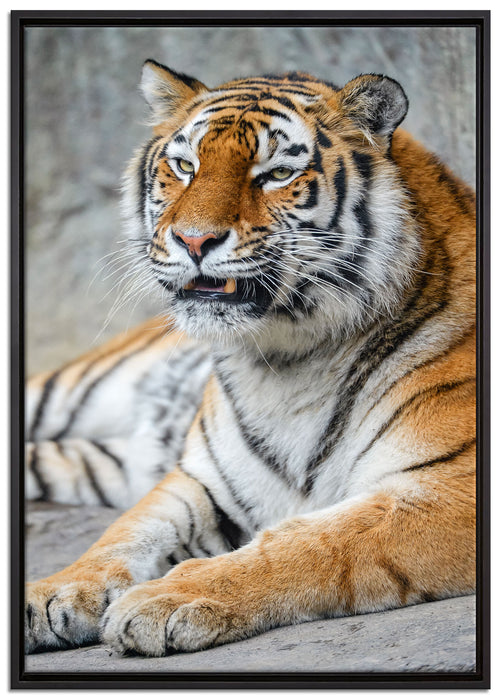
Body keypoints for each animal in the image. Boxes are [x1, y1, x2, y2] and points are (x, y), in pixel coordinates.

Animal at [25, 60, 476, 658]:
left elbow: (313, 541)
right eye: (184, 166)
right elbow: (127, 531)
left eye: (276, 173)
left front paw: (165, 599)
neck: (289, 359)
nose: (193, 240)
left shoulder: (452, 489)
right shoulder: (201, 480)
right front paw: (53, 590)